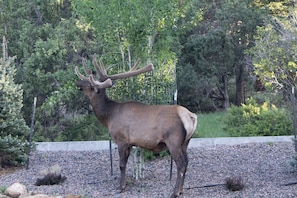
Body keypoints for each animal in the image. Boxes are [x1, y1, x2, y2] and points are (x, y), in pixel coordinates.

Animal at [75, 54, 198, 198]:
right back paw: (182, 190)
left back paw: (175, 192)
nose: (78, 82)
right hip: (186, 142)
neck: (109, 116)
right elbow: (126, 163)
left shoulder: (121, 139)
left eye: (90, 84)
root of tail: (191, 116)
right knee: (187, 162)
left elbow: (122, 164)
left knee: (181, 164)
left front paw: (121, 187)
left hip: (174, 141)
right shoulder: (130, 143)